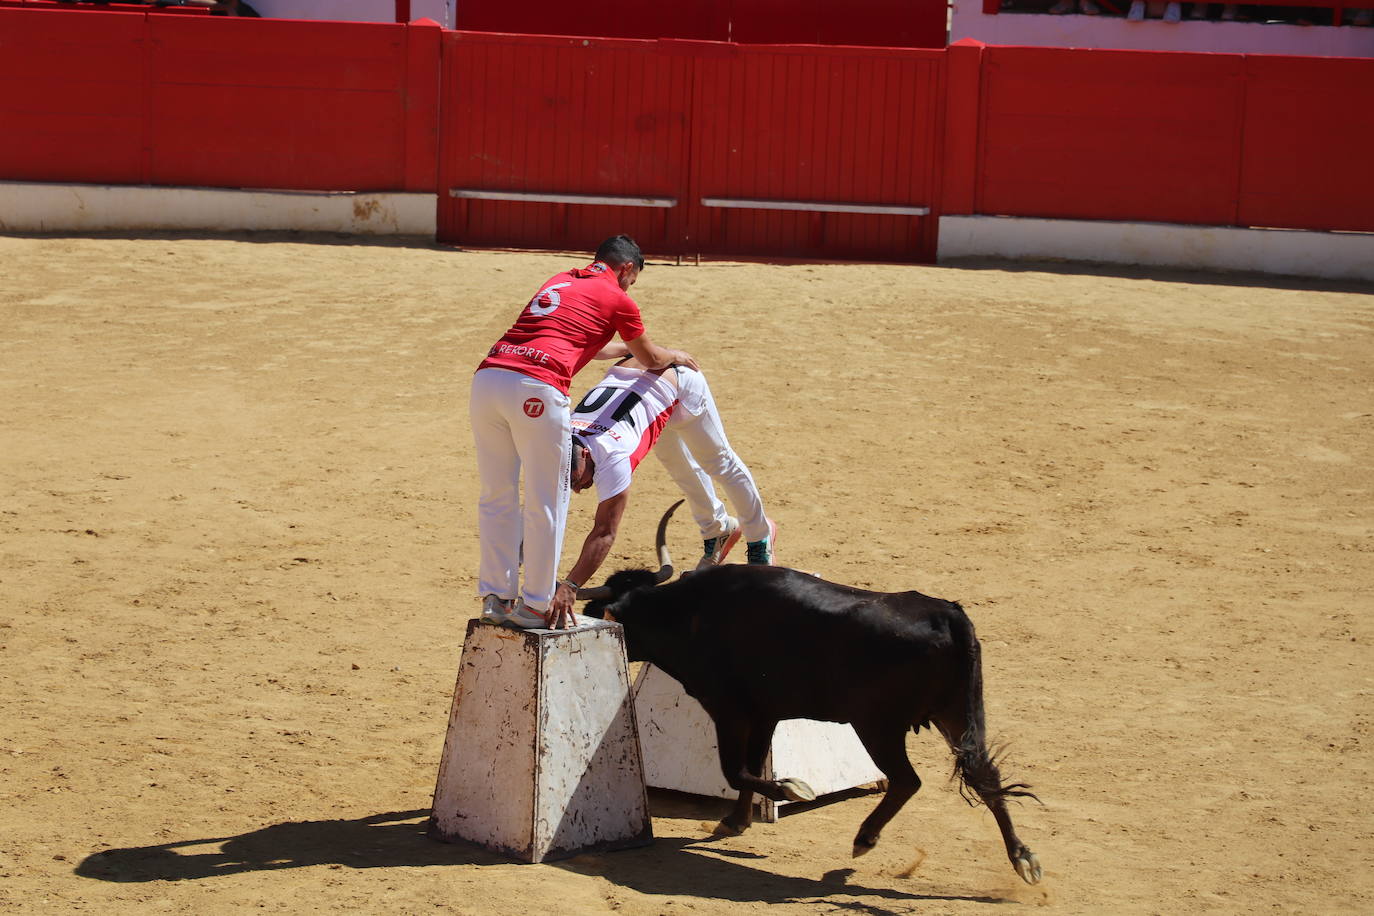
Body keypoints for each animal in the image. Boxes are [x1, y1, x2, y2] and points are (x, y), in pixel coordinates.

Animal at [579, 505, 1038, 884]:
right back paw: (1022, 858)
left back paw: (865, 838)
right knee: (985, 776)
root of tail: (947, 615)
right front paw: (736, 821)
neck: (684, 614)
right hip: (956, 715)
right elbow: (751, 767)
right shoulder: (765, 714)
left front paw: (792, 789)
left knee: (908, 780)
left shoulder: (728, 710)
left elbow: (736, 770)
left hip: (879, 726)